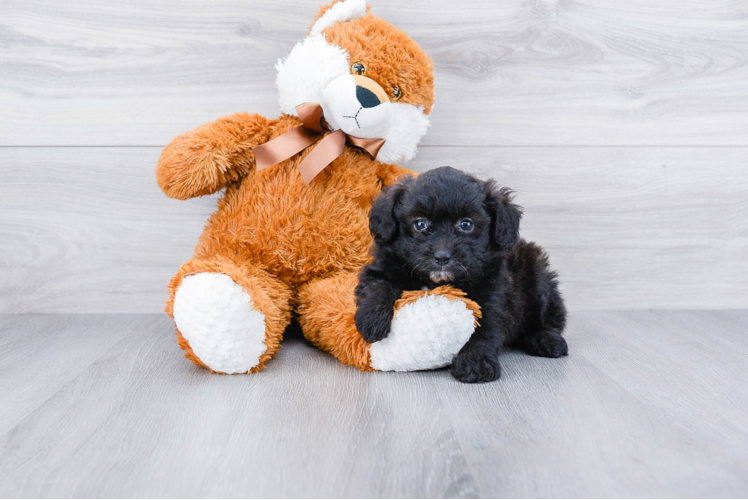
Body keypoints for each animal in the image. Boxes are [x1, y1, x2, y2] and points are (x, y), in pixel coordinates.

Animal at [356, 167, 568, 382]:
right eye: (420, 224)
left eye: (466, 225)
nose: (442, 257)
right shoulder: (383, 266)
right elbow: (379, 285)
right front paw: (371, 320)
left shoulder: (492, 292)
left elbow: (486, 325)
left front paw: (477, 360)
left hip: (537, 275)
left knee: (548, 319)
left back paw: (546, 339)